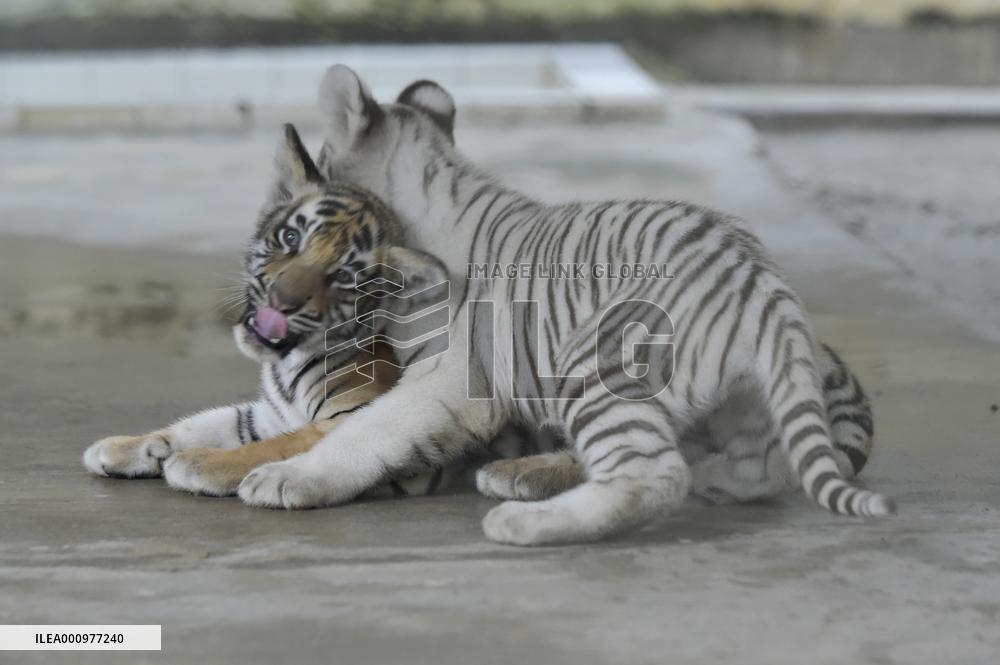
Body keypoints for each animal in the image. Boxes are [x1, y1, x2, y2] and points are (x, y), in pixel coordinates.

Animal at [221, 65, 890, 546]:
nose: (290, 186)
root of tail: (759, 278)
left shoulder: (448, 379)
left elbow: (367, 430)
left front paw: (284, 478)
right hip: (744, 398)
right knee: (760, 465)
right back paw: (707, 482)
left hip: (601, 363)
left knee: (654, 474)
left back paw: (527, 523)